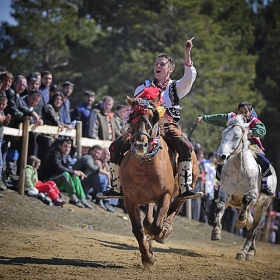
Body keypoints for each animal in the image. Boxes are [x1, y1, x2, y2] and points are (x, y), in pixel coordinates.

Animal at [119, 94, 198, 266]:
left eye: (152, 117)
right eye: (132, 117)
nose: (140, 144)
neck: (143, 167)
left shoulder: (165, 196)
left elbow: (156, 226)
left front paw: (159, 234)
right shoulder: (129, 200)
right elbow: (138, 230)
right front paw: (147, 256)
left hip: (186, 187)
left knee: (176, 206)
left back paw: (166, 228)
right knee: (148, 216)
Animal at [212, 114, 276, 260]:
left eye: (236, 137)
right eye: (223, 134)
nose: (220, 156)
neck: (239, 170)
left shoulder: (252, 193)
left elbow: (246, 199)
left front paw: (240, 222)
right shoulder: (225, 191)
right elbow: (219, 207)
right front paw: (216, 232)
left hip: (262, 208)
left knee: (253, 229)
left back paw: (244, 252)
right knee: (251, 225)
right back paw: (251, 250)